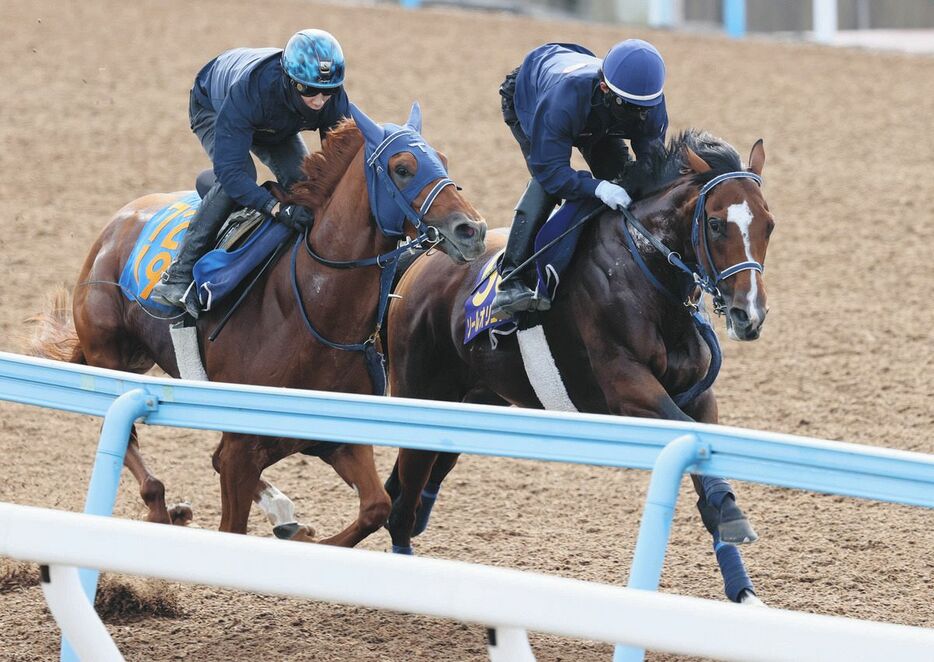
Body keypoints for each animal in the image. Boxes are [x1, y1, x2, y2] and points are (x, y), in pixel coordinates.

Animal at [26, 104, 486, 548]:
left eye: (443, 160)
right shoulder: (243, 448)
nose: (472, 230)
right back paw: (162, 508)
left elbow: (375, 507)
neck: (311, 314)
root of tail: (116, 224)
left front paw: (303, 535)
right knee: (130, 441)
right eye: (402, 168)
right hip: (110, 356)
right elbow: (233, 525)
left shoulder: (335, 436)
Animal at [386, 132, 776, 604]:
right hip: (419, 391)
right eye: (716, 224)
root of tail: (422, 262)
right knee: (403, 498)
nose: (748, 315)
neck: (645, 270)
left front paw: (739, 568)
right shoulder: (627, 387)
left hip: (473, 401)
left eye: (769, 224)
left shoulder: (699, 394)